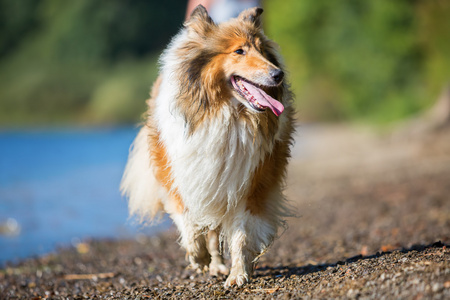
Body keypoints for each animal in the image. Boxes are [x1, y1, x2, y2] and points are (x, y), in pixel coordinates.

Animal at [120, 4, 296, 286]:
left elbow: (242, 233)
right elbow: (190, 224)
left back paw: (220, 265)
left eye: (261, 49)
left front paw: (238, 273)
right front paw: (198, 257)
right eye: (239, 51)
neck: (225, 113)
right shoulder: (182, 176)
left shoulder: (250, 183)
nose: (278, 75)